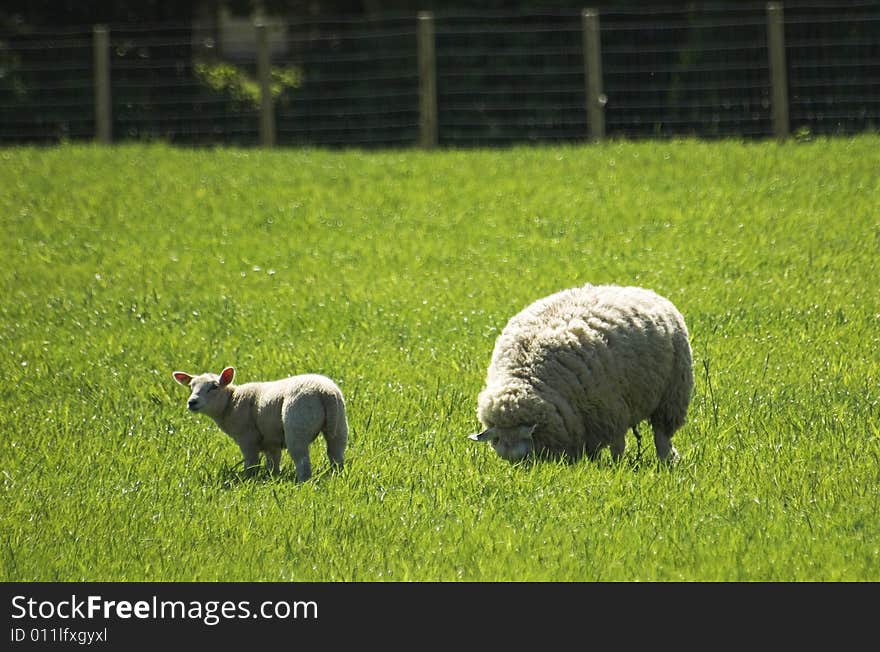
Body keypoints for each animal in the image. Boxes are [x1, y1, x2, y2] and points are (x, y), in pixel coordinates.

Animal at [172, 370, 348, 482]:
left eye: (214, 386)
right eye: (191, 386)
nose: (192, 402)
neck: (231, 403)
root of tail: (325, 392)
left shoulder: (247, 438)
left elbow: (251, 463)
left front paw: (249, 480)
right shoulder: (271, 441)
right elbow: (273, 463)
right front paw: (273, 478)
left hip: (298, 425)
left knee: (302, 462)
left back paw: (302, 484)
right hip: (340, 424)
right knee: (336, 455)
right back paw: (337, 477)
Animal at [468, 284, 696, 464]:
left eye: (525, 457)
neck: (525, 374)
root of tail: (641, 290)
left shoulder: (610, 410)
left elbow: (618, 445)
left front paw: (617, 468)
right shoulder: (589, 419)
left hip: (672, 394)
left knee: (661, 434)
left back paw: (665, 461)